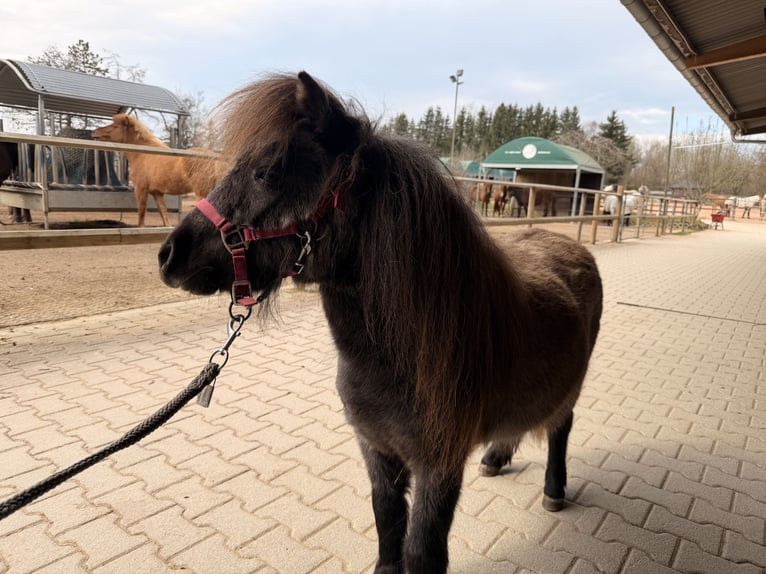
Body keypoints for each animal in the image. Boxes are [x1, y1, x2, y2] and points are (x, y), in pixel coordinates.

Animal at [93, 114, 223, 226]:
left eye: (115, 126)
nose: (95, 132)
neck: (143, 154)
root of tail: (214, 159)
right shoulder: (157, 194)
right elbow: (164, 217)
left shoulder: (141, 189)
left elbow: (141, 216)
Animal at [158, 71, 603, 573]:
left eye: (268, 171)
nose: (169, 255)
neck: (401, 356)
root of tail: (573, 246)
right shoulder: (377, 449)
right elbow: (387, 521)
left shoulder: (439, 466)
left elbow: (422, 549)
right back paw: (496, 457)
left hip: (570, 389)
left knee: (560, 425)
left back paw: (554, 490)